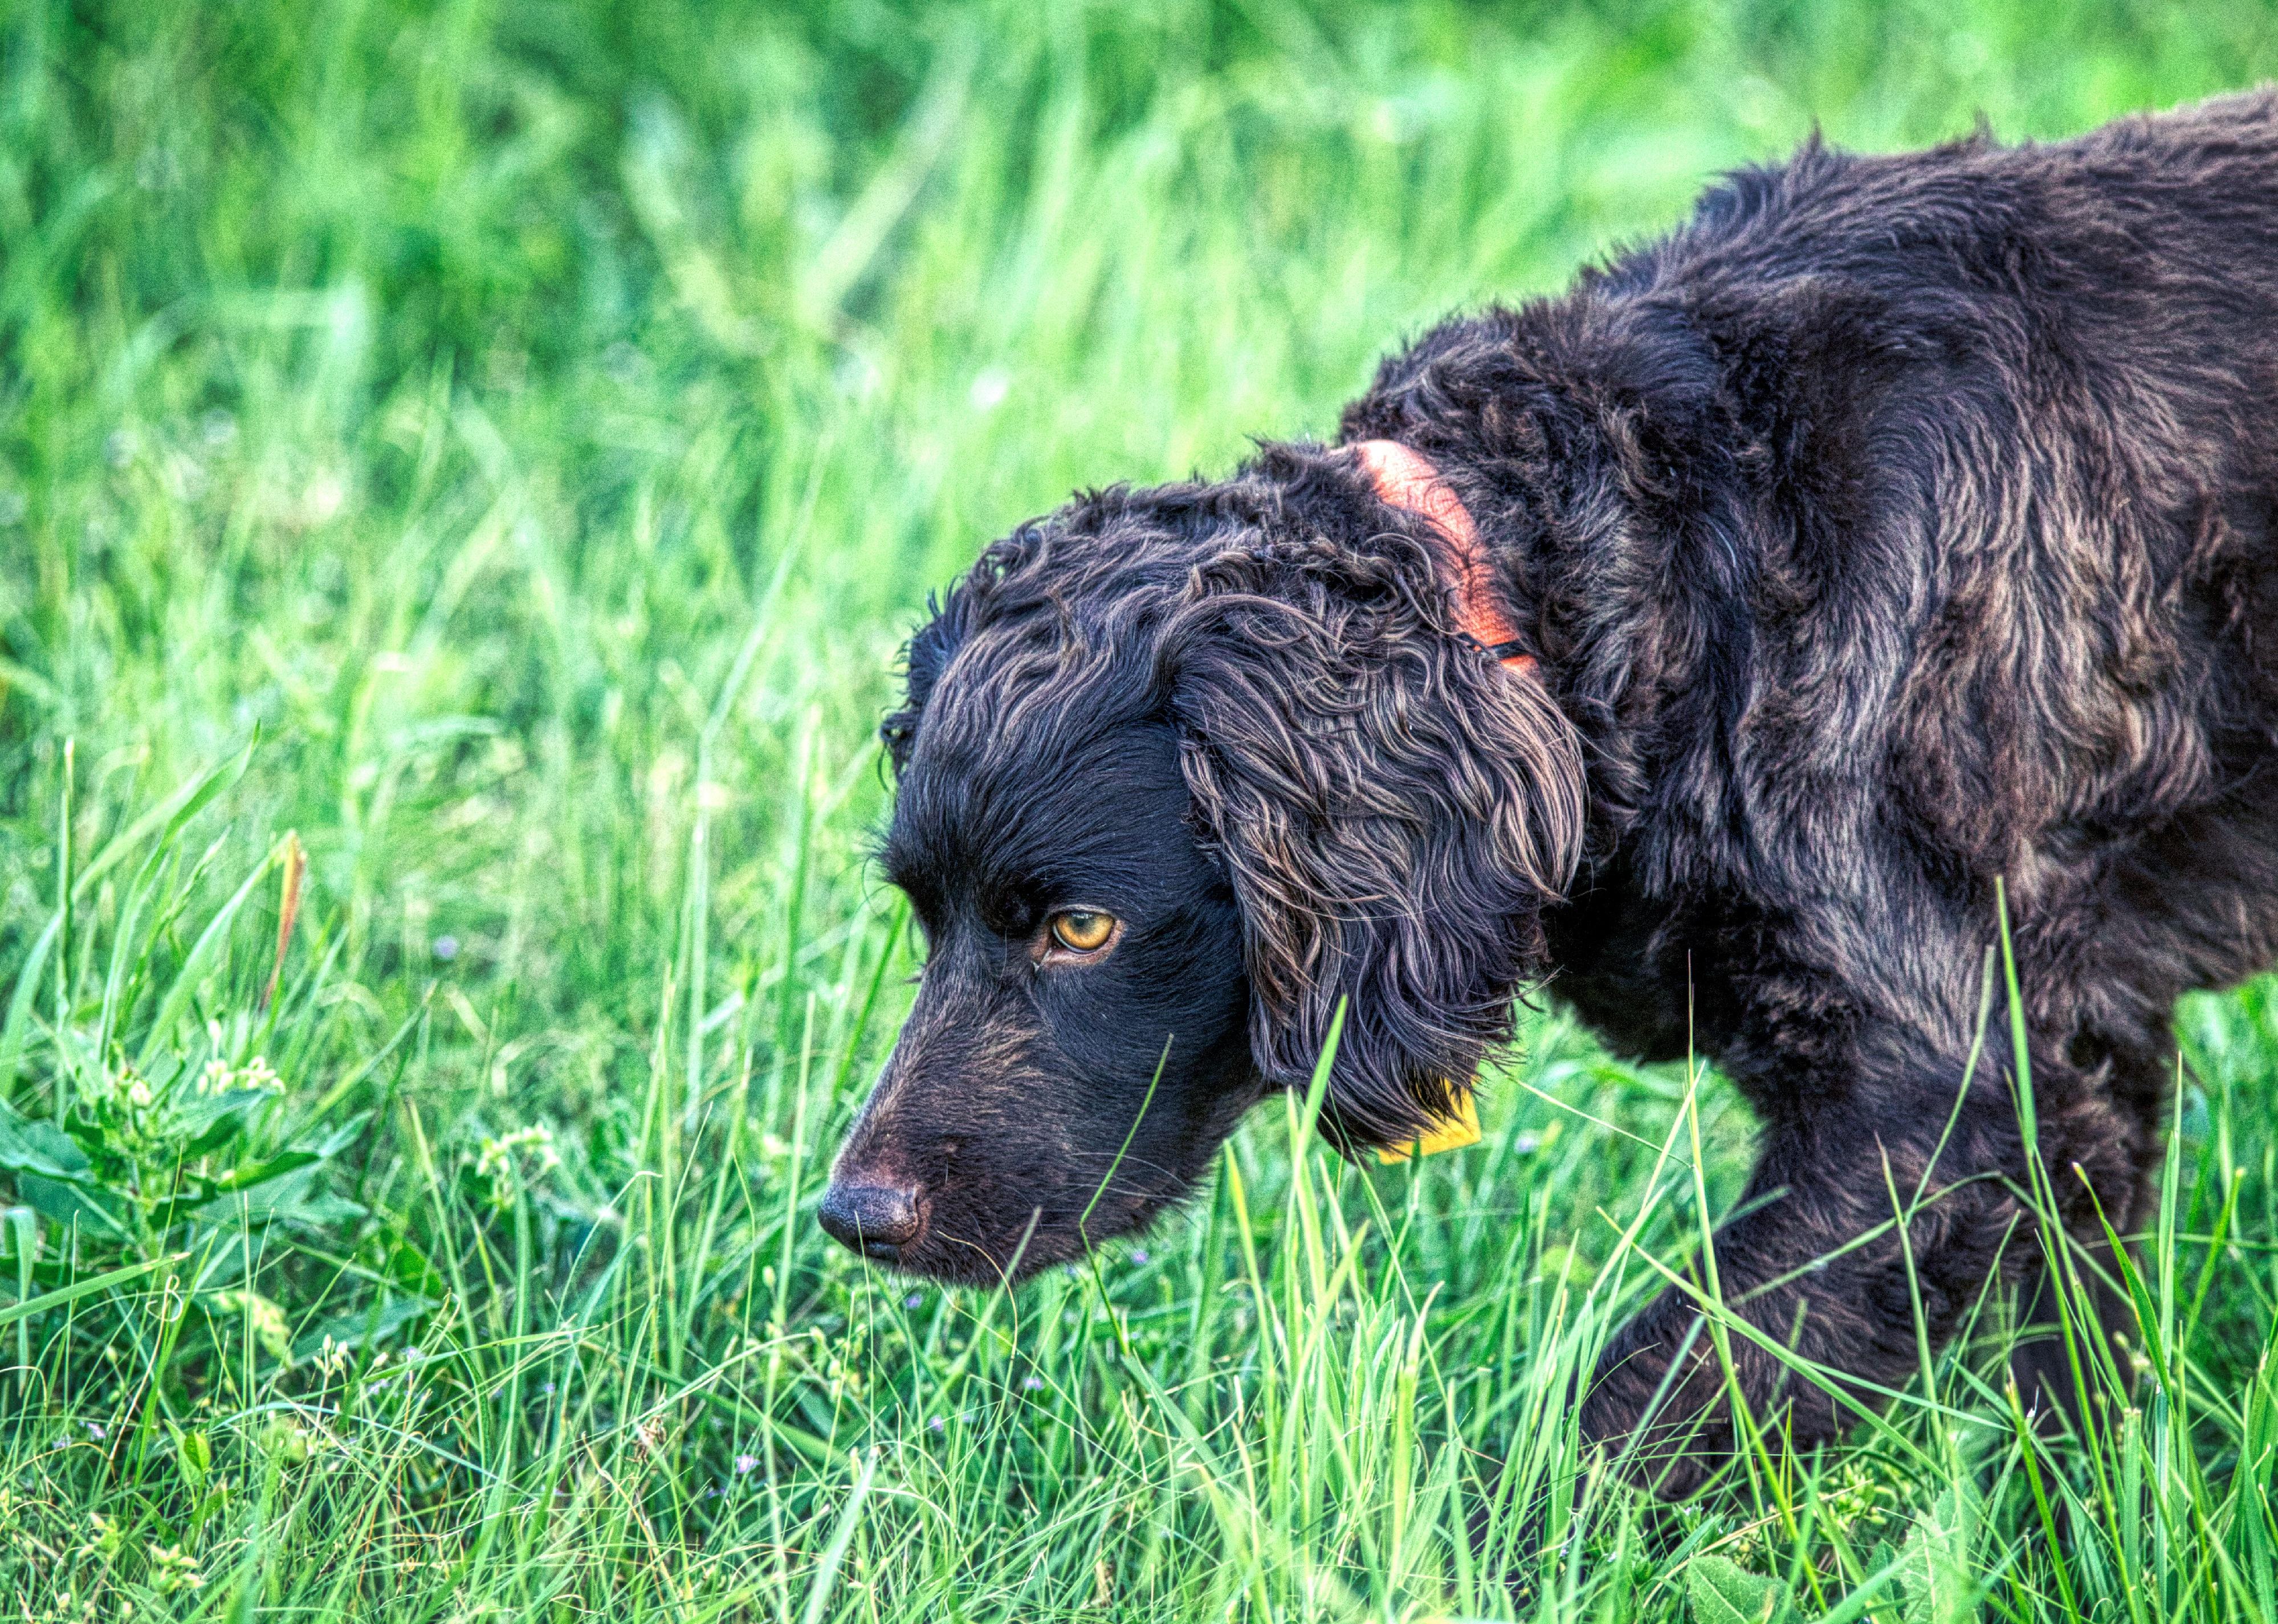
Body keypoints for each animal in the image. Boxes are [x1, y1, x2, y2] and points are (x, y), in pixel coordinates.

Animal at [820, 95, 2278, 1494]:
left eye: (1081, 929)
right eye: (924, 918)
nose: (852, 1218)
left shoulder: (1947, 1100)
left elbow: (1637, 1408)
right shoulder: (2084, 1056)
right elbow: (2073, 1388)